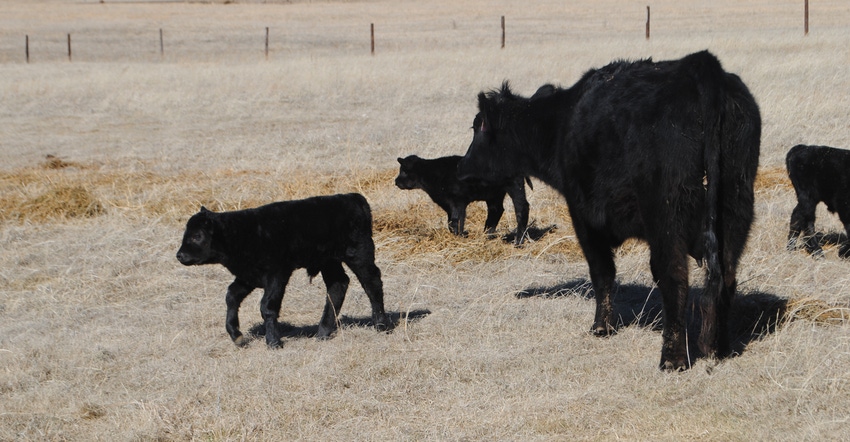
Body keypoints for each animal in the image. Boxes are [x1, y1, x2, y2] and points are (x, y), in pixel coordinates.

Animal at [176, 193, 394, 348]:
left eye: (197, 236)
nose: (180, 255)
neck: (242, 233)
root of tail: (354, 198)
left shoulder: (277, 274)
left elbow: (267, 306)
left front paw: (273, 341)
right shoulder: (248, 277)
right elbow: (231, 296)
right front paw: (236, 335)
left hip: (358, 253)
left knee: (371, 282)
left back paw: (381, 325)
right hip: (329, 261)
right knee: (338, 285)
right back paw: (322, 332)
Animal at [392, 155, 528, 245]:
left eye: (404, 171)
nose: (396, 182)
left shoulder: (459, 201)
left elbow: (457, 219)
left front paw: (460, 236)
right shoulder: (448, 204)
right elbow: (451, 221)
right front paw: (457, 235)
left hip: (515, 188)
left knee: (522, 208)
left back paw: (518, 241)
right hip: (494, 196)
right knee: (496, 210)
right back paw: (487, 234)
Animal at [458, 51, 760, 370]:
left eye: (477, 128)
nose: (460, 168)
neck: (561, 124)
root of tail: (700, 64)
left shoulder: (584, 217)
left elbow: (602, 272)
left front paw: (601, 327)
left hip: (666, 217)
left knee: (673, 276)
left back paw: (672, 358)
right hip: (736, 207)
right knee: (726, 277)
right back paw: (719, 348)